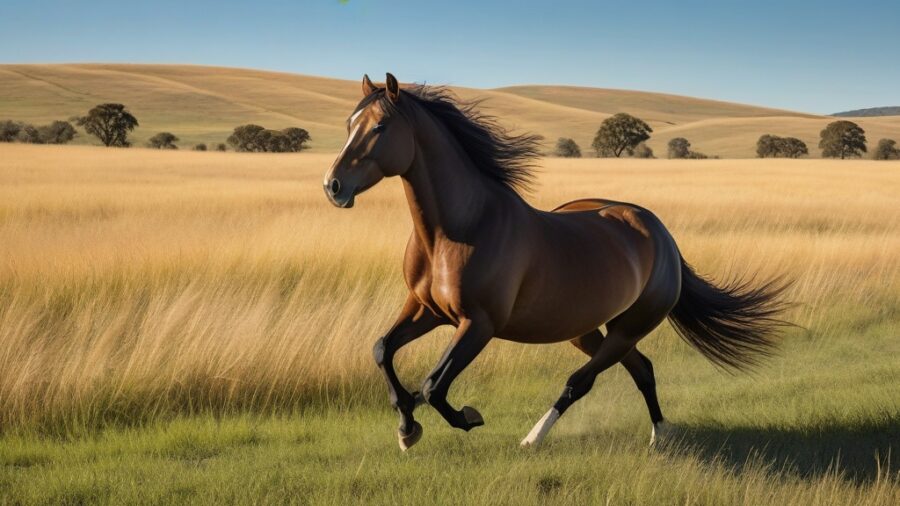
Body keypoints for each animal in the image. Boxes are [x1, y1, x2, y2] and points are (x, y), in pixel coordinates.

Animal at [323, 73, 790, 451]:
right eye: (348, 125)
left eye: (380, 126)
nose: (333, 186)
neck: (456, 230)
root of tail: (659, 231)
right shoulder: (426, 310)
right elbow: (382, 350)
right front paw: (407, 426)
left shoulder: (478, 324)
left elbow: (434, 384)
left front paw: (465, 418)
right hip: (587, 329)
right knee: (642, 369)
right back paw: (659, 436)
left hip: (629, 327)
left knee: (582, 381)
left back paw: (534, 437)